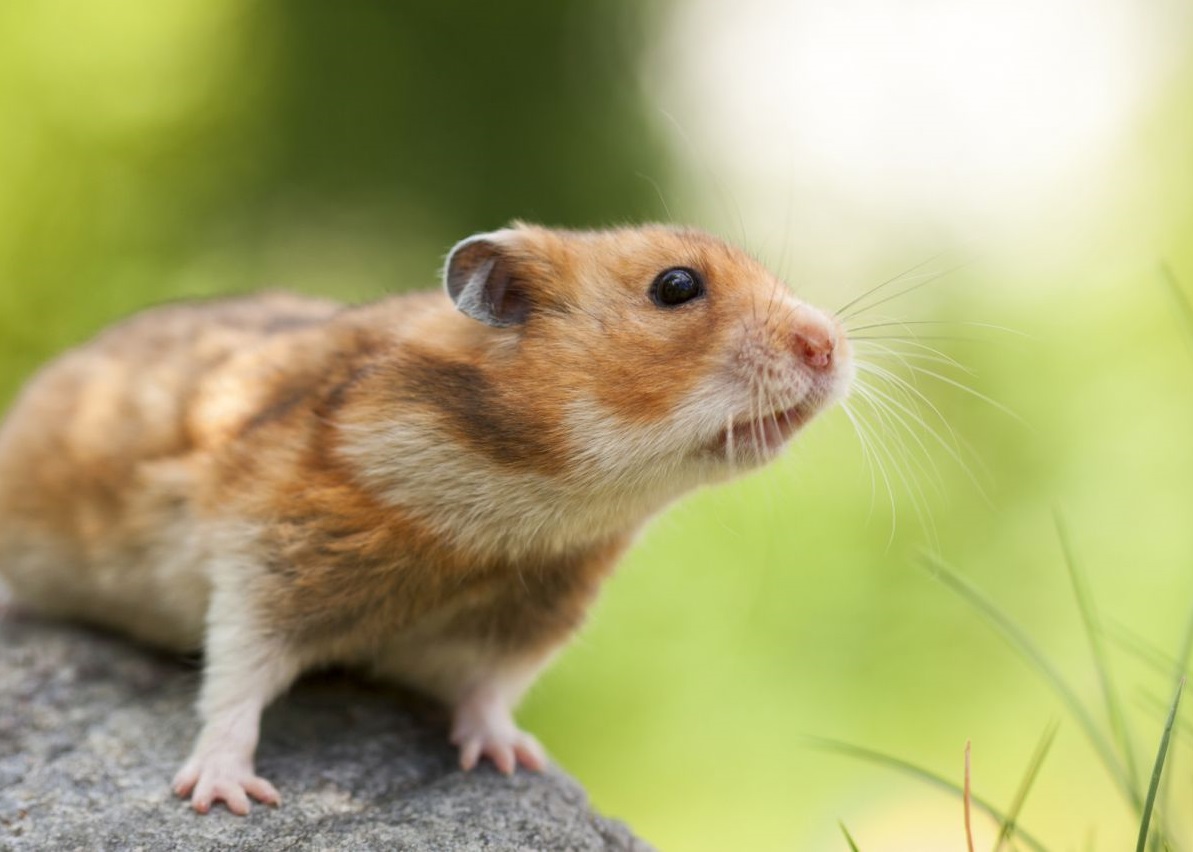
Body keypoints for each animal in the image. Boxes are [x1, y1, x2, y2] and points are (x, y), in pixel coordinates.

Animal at [0, 224, 853, 814]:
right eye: (676, 287)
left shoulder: (531, 615)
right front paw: (226, 799)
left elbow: (490, 692)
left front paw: (514, 760)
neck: (531, 505)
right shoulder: (267, 561)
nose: (831, 346)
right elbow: (236, 678)